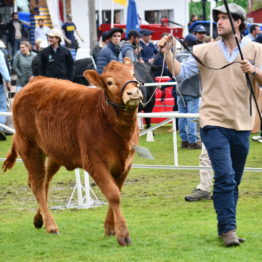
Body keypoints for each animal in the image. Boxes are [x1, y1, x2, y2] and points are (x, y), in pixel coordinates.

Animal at [2, 57, 142, 246]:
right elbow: (113, 194)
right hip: (29, 146)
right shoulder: (94, 162)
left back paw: (39, 219)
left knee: (44, 182)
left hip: (54, 153)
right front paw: (123, 234)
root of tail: (35, 80)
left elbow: (116, 192)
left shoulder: (126, 164)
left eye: (132, 74)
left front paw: (109, 228)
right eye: (109, 82)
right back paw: (51, 225)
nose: (133, 93)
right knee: (37, 183)